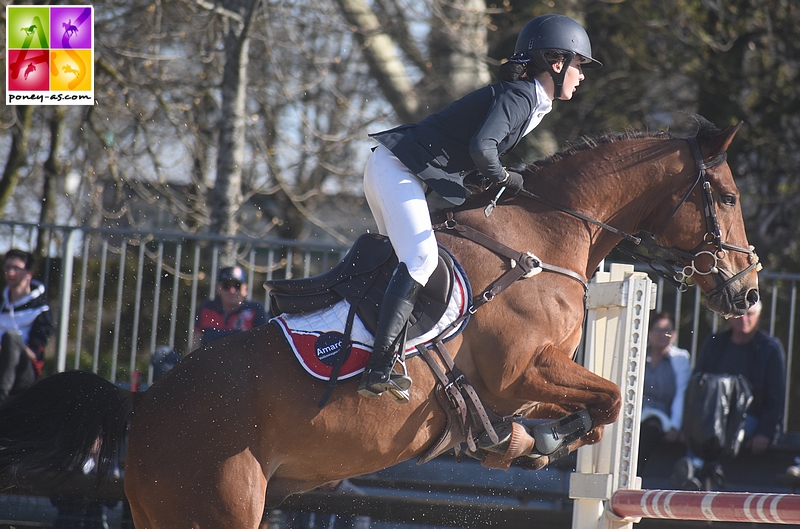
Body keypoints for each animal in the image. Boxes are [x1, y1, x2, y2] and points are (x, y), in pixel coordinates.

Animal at [0, 115, 756, 524]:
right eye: (724, 195)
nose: (747, 292)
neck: (544, 235)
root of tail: (143, 406)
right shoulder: (520, 373)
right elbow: (611, 398)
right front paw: (529, 443)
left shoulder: (532, 379)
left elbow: (601, 405)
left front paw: (519, 442)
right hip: (218, 504)